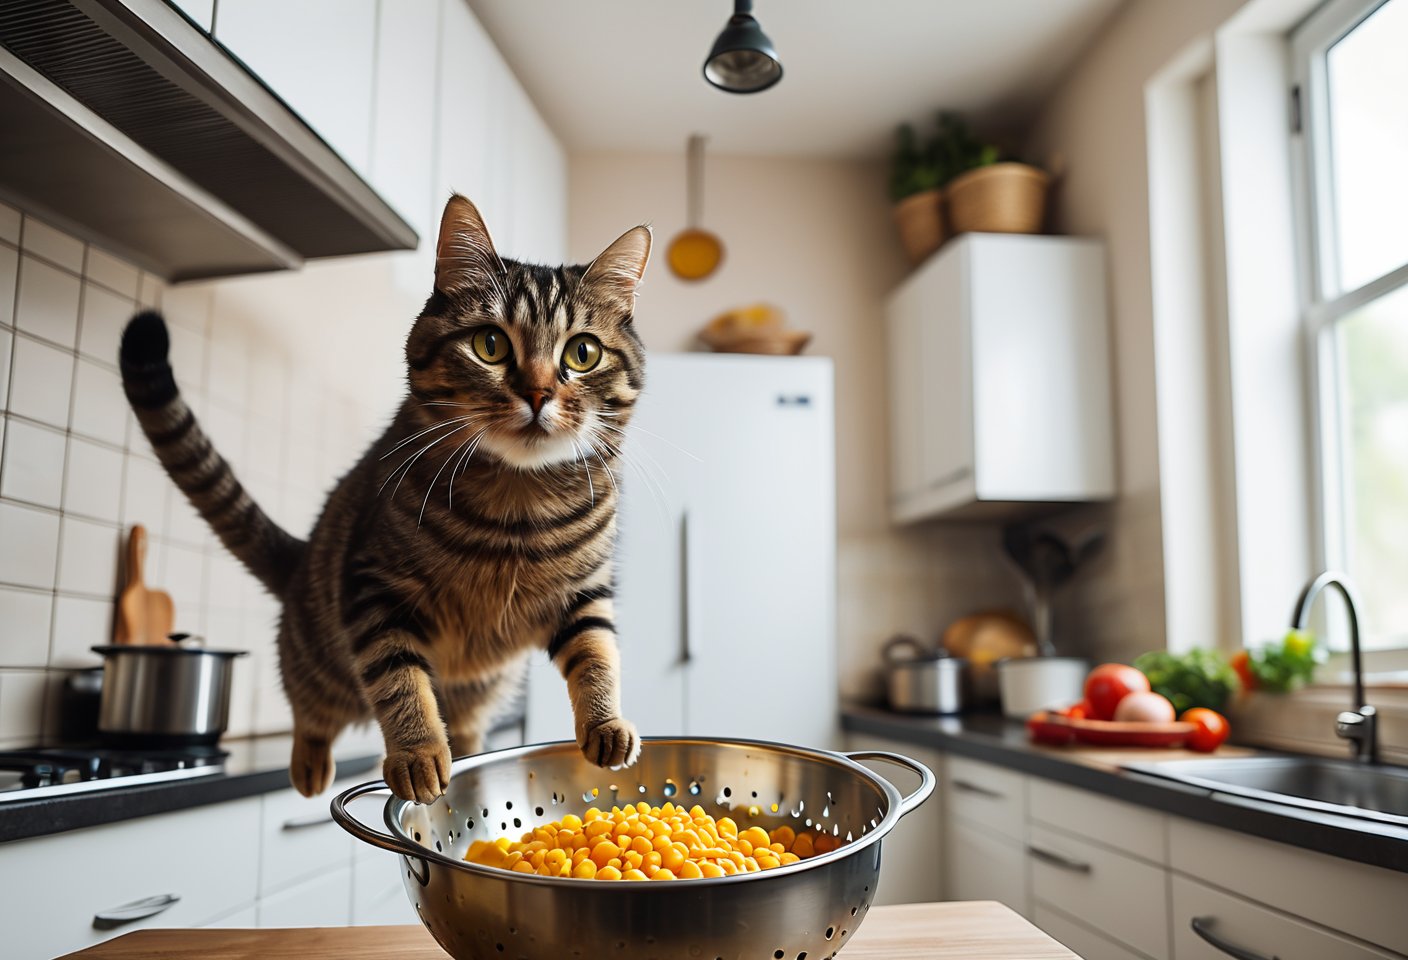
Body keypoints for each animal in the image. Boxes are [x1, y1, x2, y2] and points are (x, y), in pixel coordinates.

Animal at [121, 195, 647, 799]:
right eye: (490, 345)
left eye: (583, 353)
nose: (538, 393)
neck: (518, 500)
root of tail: (300, 563)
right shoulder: (376, 591)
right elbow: (399, 681)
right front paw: (417, 753)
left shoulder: (586, 594)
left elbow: (597, 654)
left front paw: (607, 724)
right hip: (321, 661)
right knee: (310, 708)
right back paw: (310, 765)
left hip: (485, 684)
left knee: (468, 724)